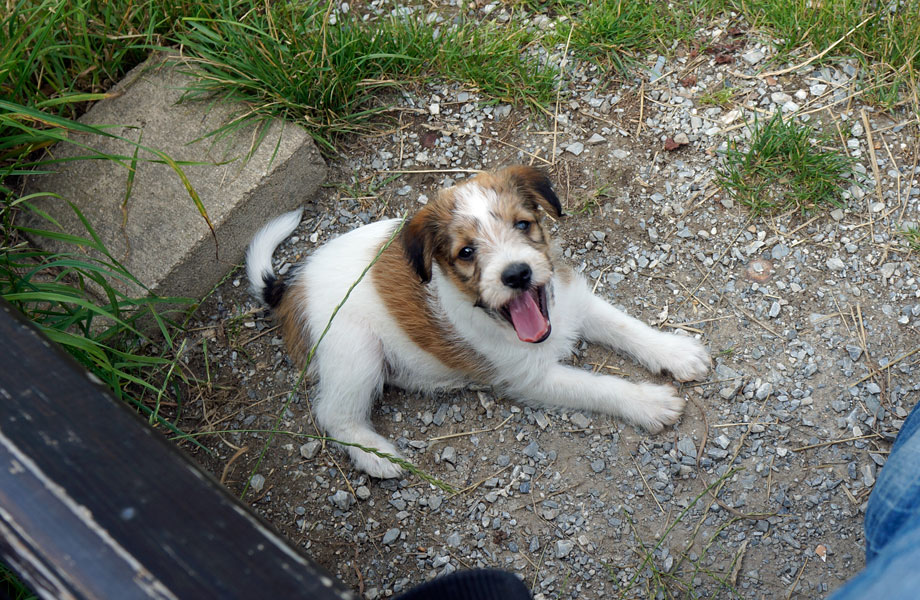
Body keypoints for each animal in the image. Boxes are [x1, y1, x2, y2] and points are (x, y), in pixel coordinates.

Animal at [246, 166, 710, 478]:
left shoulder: (575, 302)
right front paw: (649, 402)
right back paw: (378, 456)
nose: (517, 274)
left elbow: (625, 325)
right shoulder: (531, 378)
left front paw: (676, 352)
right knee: (333, 415)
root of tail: (290, 285)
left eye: (523, 224)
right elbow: (599, 386)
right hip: (355, 353)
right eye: (466, 252)